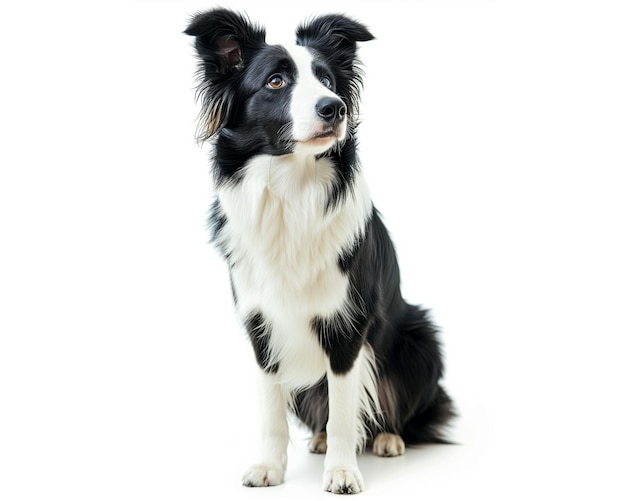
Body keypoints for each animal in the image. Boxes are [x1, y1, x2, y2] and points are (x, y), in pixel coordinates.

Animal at [185, 7, 454, 492]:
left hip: (421, 340)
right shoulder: (262, 326)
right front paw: (268, 468)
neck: (291, 192)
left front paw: (343, 473)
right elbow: (271, 410)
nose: (335, 106)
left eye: (327, 79)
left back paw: (388, 438)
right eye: (275, 81)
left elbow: (346, 408)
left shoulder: (347, 327)